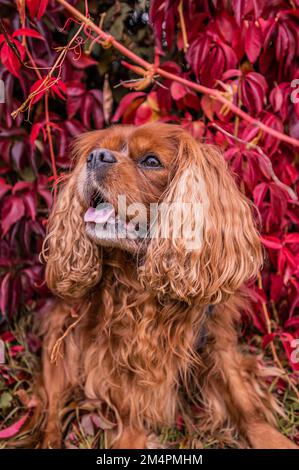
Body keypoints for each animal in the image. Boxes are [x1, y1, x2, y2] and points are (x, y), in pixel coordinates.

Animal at [34, 121, 296, 448]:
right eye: (94, 152)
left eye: (151, 161)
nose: (95, 157)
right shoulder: (118, 351)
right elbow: (128, 410)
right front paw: (130, 441)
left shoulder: (215, 340)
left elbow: (244, 403)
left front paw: (273, 439)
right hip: (59, 338)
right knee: (52, 410)